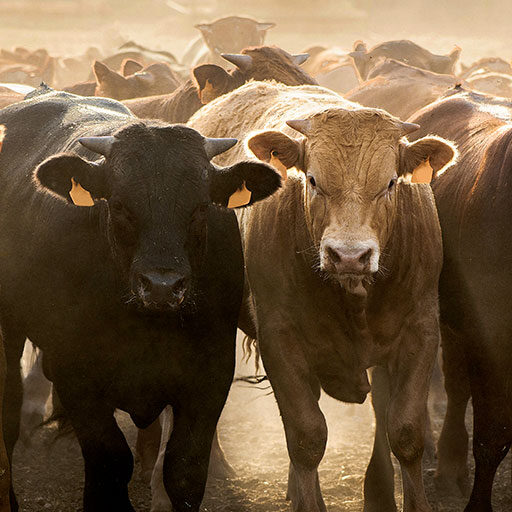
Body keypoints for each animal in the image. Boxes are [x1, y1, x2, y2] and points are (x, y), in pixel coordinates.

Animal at [0, 89, 280, 512]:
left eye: (201, 207)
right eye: (118, 205)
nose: (162, 286)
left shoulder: (209, 377)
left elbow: (184, 468)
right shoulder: (76, 377)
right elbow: (111, 458)